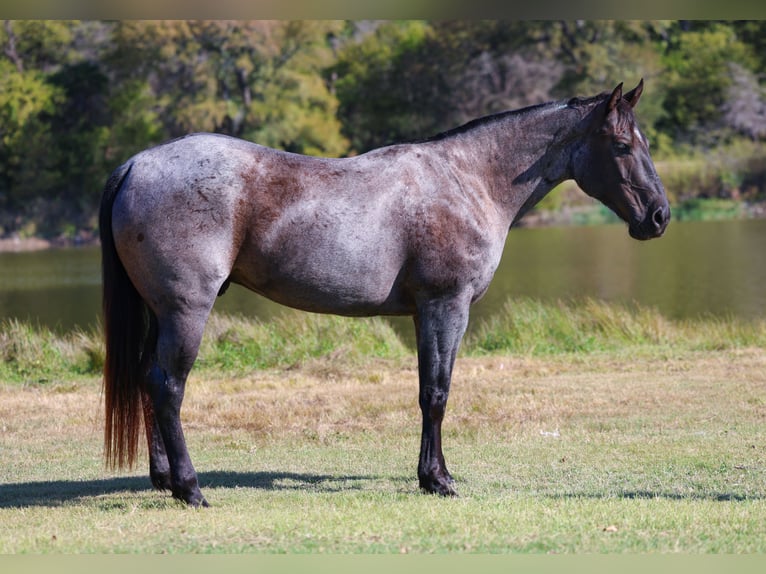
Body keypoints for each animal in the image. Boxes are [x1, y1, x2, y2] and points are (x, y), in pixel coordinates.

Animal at [100, 80, 669, 507]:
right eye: (623, 145)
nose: (660, 216)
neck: (467, 180)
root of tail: (137, 164)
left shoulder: (422, 314)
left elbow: (425, 390)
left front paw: (431, 474)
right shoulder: (445, 307)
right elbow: (437, 394)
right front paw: (438, 480)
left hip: (162, 312)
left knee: (148, 379)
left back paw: (163, 480)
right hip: (186, 311)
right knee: (169, 386)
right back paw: (190, 489)